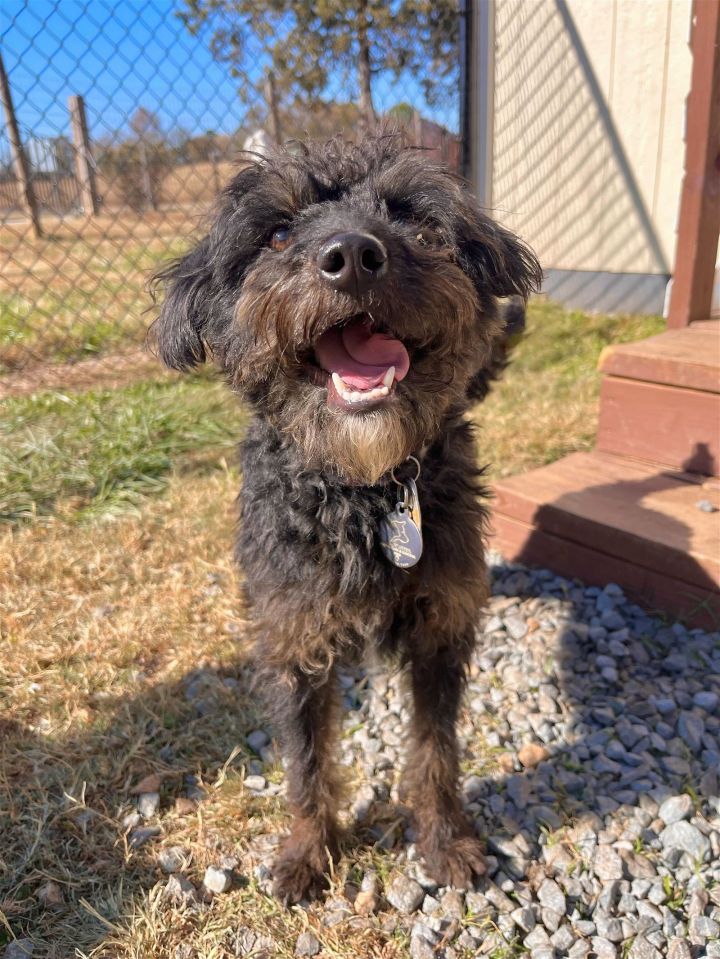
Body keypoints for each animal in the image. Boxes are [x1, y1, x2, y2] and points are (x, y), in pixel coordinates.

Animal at [150, 135, 540, 908]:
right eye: (276, 233)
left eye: (413, 217)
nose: (352, 254)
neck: (364, 490)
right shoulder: (294, 639)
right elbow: (306, 762)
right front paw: (310, 851)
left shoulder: (440, 628)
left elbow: (435, 751)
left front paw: (445, 843)